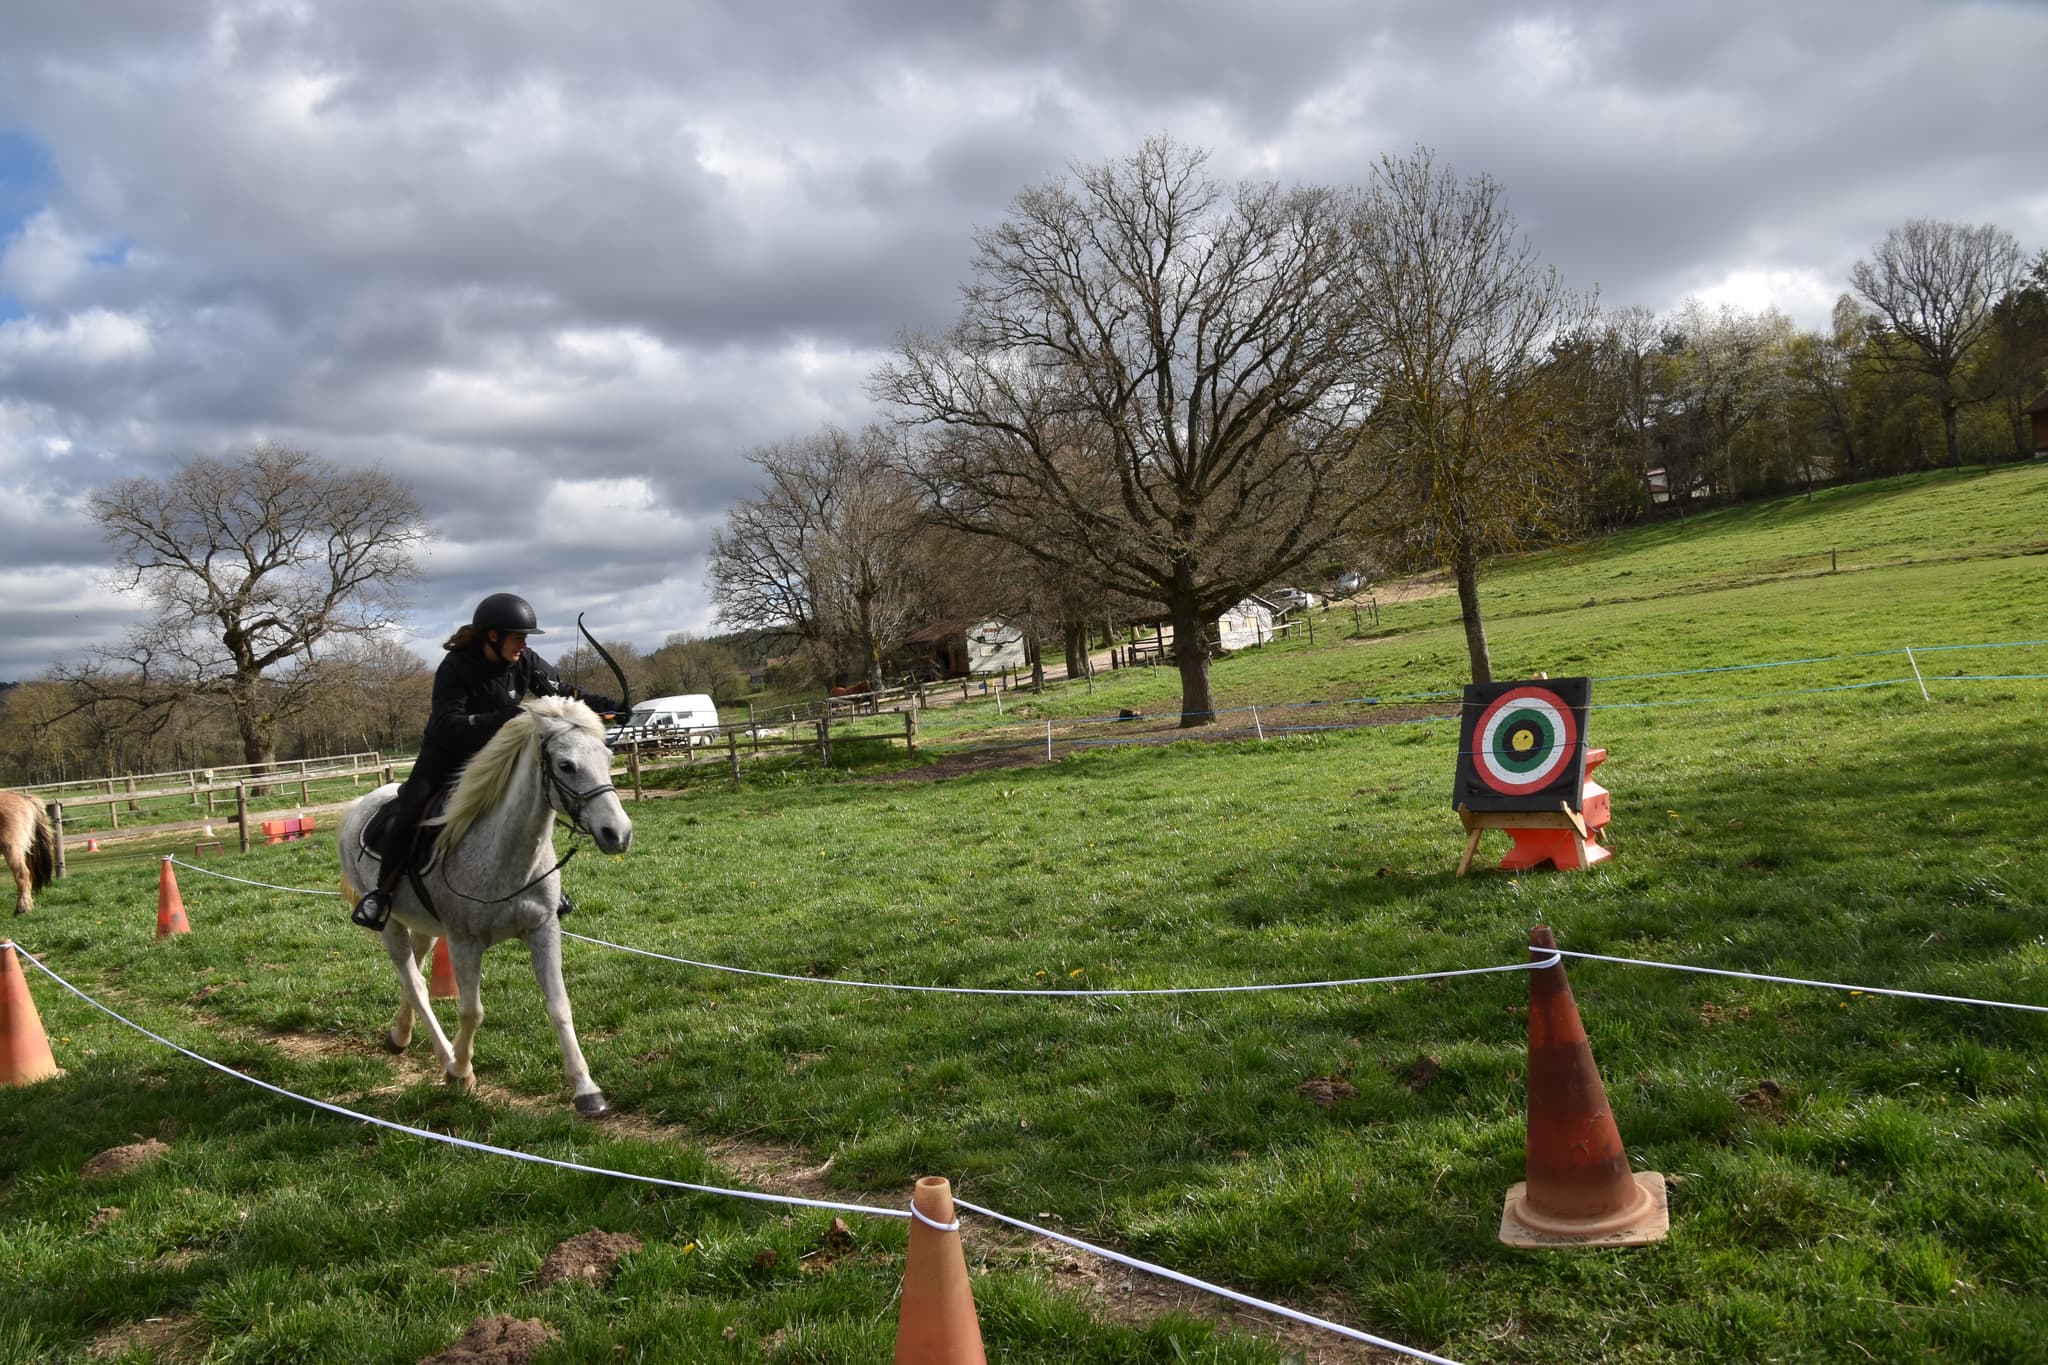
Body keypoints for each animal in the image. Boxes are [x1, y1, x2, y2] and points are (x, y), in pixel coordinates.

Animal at [338, 697, 633, 1116]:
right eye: (566, 765)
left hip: (425, 926)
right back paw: (446, 1056)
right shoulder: (465, 943)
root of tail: (357, 807)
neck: (505, 852)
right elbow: (471, 1010)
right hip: (391, 923)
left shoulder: (543, 929)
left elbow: (560, 1006)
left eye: (608, 758)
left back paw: (399, 1034)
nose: (618, 833)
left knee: (415, 974)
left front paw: (585, 1089)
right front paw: (461, 1072)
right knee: (414, 983)